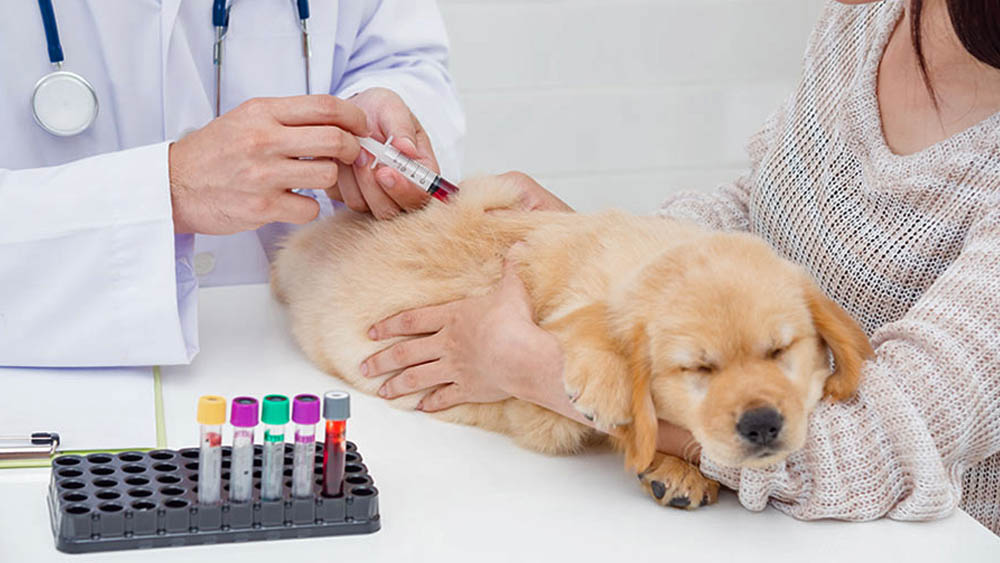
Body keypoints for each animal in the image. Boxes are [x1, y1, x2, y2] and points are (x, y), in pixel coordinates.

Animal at [270, 176, 872, 512]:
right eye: (699, 370)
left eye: (780, 353)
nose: (763, 424)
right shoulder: (541, 405)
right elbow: (589, 326)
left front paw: (676, 469)